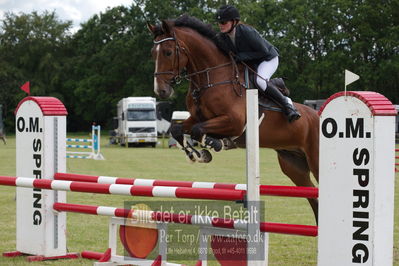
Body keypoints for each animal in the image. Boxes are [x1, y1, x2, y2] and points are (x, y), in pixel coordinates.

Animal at [148, 16, 320, 222]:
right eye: (153, 54)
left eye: (167, 52)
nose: (161, 91)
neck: (210, 78)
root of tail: (317, 114)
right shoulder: (196, 118)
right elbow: (178, 129)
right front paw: (196, 154)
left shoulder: (234, 122)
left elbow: (199, 130)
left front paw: (214, 145)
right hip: (293, 164)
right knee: (312, 195)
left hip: (315, 160)